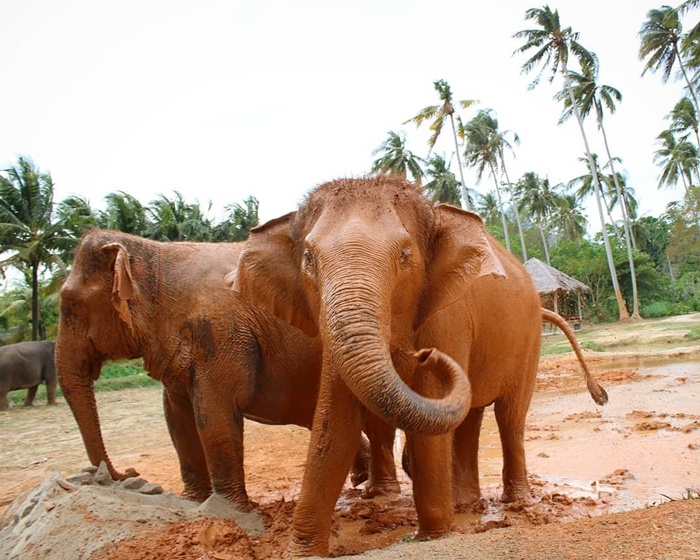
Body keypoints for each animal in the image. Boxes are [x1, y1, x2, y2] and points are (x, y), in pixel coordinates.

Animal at [233, 175, 608, 556]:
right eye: (308, 258)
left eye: (405, 255)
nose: (425, 354)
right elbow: (336, 418)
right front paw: (304, 552)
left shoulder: (448, 316)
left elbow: (430, 396)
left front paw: (433, 535)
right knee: (470, 417)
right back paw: (465, 504)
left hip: (528, 338)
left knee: (510, 416)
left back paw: (516, 504)